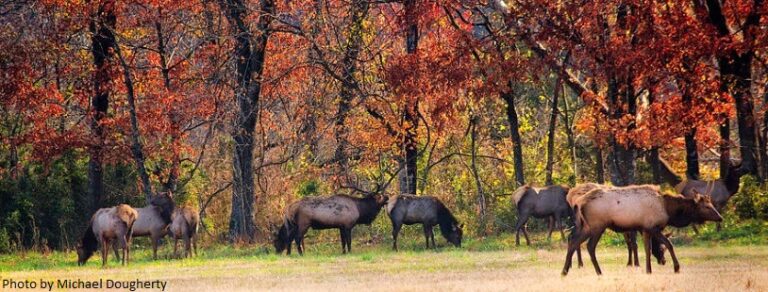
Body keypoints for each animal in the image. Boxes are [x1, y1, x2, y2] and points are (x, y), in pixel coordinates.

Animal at [560, 185, 724, 276]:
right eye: (707, 206)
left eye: (711, 204)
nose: (720, 217)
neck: (669, 211)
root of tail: (578, 203)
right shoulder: (653, 227)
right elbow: (669, 244)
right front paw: (676, 267)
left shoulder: (644, 229)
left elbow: (647, 249)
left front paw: (648, 270)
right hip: (598, 226)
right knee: (589, 246)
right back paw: (599, 271)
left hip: (586, 226)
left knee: (573, 242)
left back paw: (565, 271)